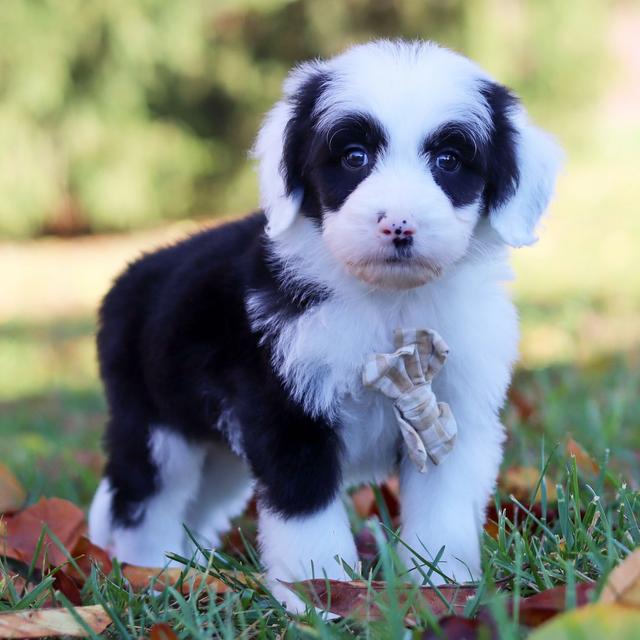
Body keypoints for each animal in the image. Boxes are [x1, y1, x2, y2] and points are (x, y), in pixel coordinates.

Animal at [89, 40, 560, 608]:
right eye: (354, 157)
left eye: (449, 161)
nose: (398, 224)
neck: (389, 304)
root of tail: (130, 278)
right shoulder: (288, 414)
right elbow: (307, 513)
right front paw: (322, 598)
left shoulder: (453, 416)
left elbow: (443, 509)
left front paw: (443, 587)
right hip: (156, 426)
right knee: (144, 500)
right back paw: (149, 575)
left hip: (218, 453)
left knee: (199, 502)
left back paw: (188, 572)